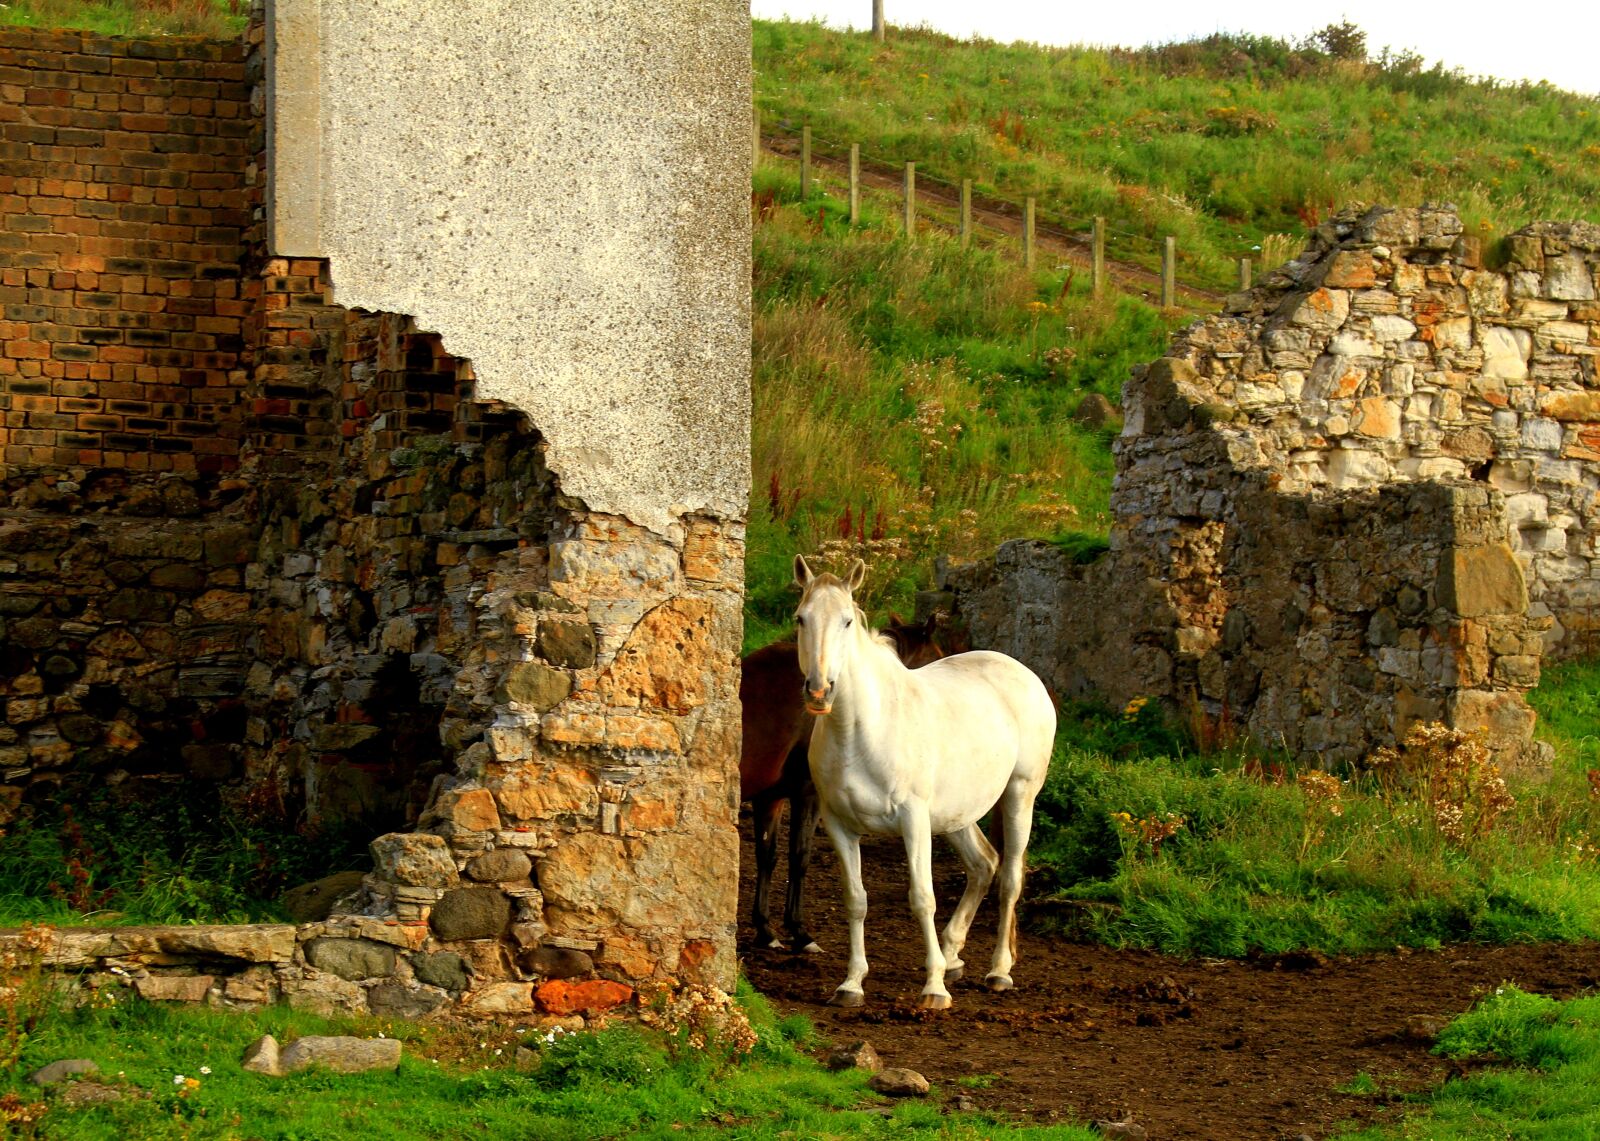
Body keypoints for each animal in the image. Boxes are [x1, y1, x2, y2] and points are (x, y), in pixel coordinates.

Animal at [740, 612, 946, 954]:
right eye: (935, 658)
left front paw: (765, 929)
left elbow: (767, 857)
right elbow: (799, 856)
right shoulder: (807, 794)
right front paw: (799, 931)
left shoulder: (771, 797)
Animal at [793, 555, 1056, 1010]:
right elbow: (856, 900)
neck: (859, 730)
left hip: (1020, 795)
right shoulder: (840, 826)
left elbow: (922, 898)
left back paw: (998, 971)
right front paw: (852, 984)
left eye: (847, 621)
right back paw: (952, 956)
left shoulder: (913, 821)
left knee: (1009, 878)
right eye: (801, 618)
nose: (819, 691)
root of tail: (1022, 672)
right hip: (957, 815)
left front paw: (934, 989)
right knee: (983, 864)